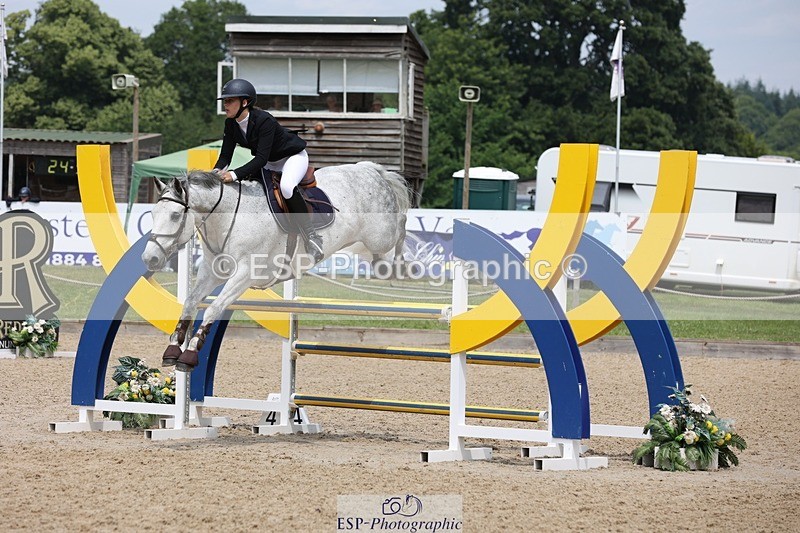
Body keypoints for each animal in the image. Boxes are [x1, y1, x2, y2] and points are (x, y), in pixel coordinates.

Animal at [142, 162, 411, 371]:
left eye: (175, 216)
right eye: (153, 214)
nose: (149, 259)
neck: (227, 217)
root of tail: (372, 170)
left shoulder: (244, 274)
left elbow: (213, 309)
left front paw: (189, 355)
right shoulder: (211, 273)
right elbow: (190, 303)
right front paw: (172, 348)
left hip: (380, 234)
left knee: (402, 225)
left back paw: (402, 267)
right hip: (362, 245)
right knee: (378, 254)